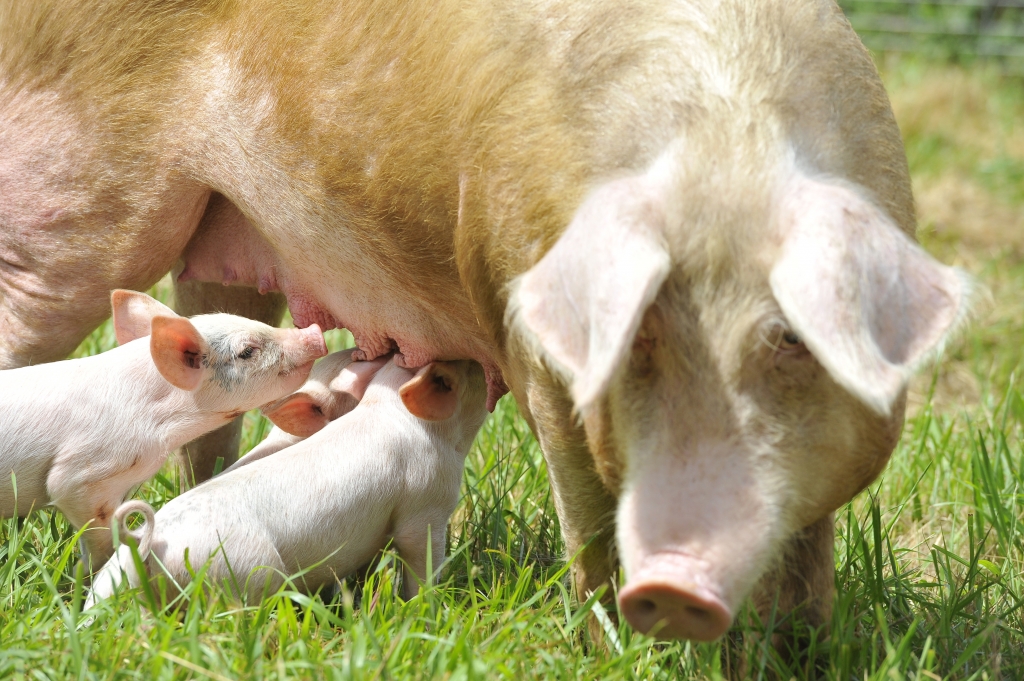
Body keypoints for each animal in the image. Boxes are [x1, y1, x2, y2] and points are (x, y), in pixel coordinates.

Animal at [85, 359, 488, 607]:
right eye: (469, 368)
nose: (484, 361)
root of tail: (148, 546)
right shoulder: (427, 500)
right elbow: (421, 557)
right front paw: (426, 608)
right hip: (247, 571)